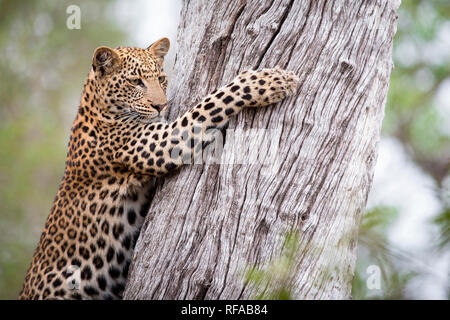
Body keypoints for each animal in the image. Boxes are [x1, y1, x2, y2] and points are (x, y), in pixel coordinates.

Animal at [18, 38, 298, 300]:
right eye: (135, 82)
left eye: (161, 79)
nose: (161, 106)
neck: (97, 108)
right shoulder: (164, 141)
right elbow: (210, 103)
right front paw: (269, 81)